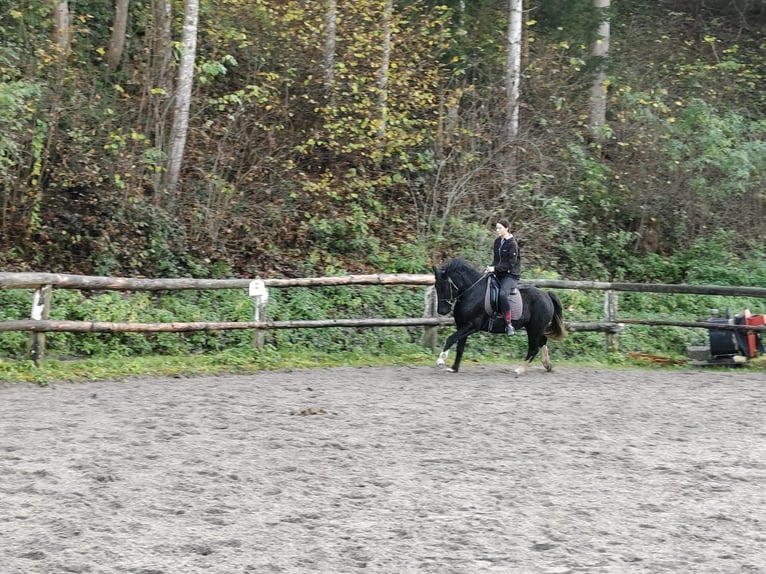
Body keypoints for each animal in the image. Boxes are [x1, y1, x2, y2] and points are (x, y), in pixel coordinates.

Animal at [436, 258, 568, 376]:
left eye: (445, 287)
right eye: (437, 287)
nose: (442, 311)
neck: (471, 292)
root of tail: (546, 294)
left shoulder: (472, 326)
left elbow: (451, 339)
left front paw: (441, 360)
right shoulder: (463, 326)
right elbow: (460, 347)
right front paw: (454, 368)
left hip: (534, 328)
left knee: (533, 348)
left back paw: (520, 370)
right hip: (536, 328)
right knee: (542, 342)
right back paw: (547, 365)